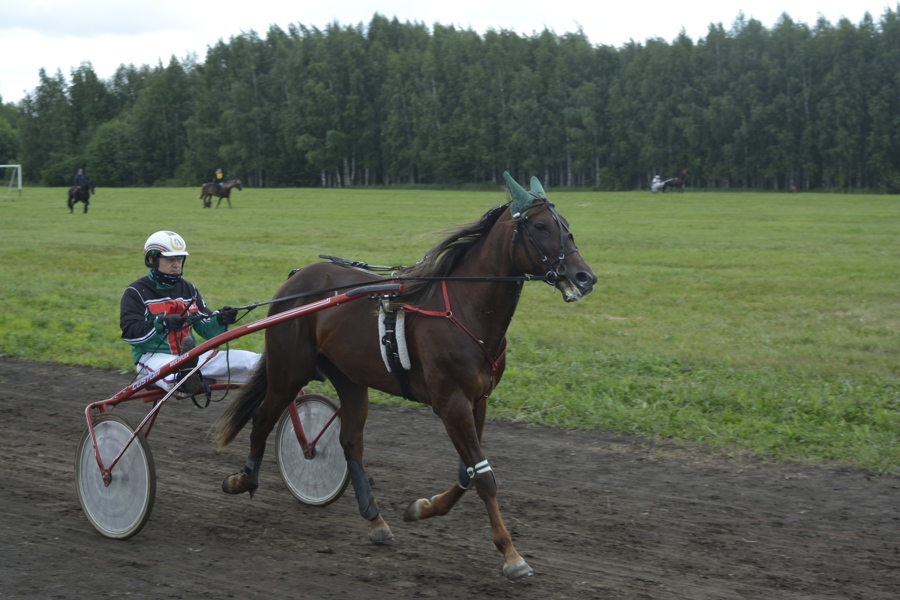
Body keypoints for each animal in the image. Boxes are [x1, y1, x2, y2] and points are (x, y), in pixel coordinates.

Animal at [211, 171, 596, 580]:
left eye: (566, 225)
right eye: (540, 226)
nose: (584, 276)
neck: (466, 309)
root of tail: (296, 278)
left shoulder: (478, 400)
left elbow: (468, 472)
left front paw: (423, 508)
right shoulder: (450, 403)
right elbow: (484, 476)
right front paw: (511, 555)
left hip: (349, 378)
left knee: (349, 441)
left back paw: (375, 519)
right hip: (289, 370)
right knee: (262, 419)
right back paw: (241, 479)